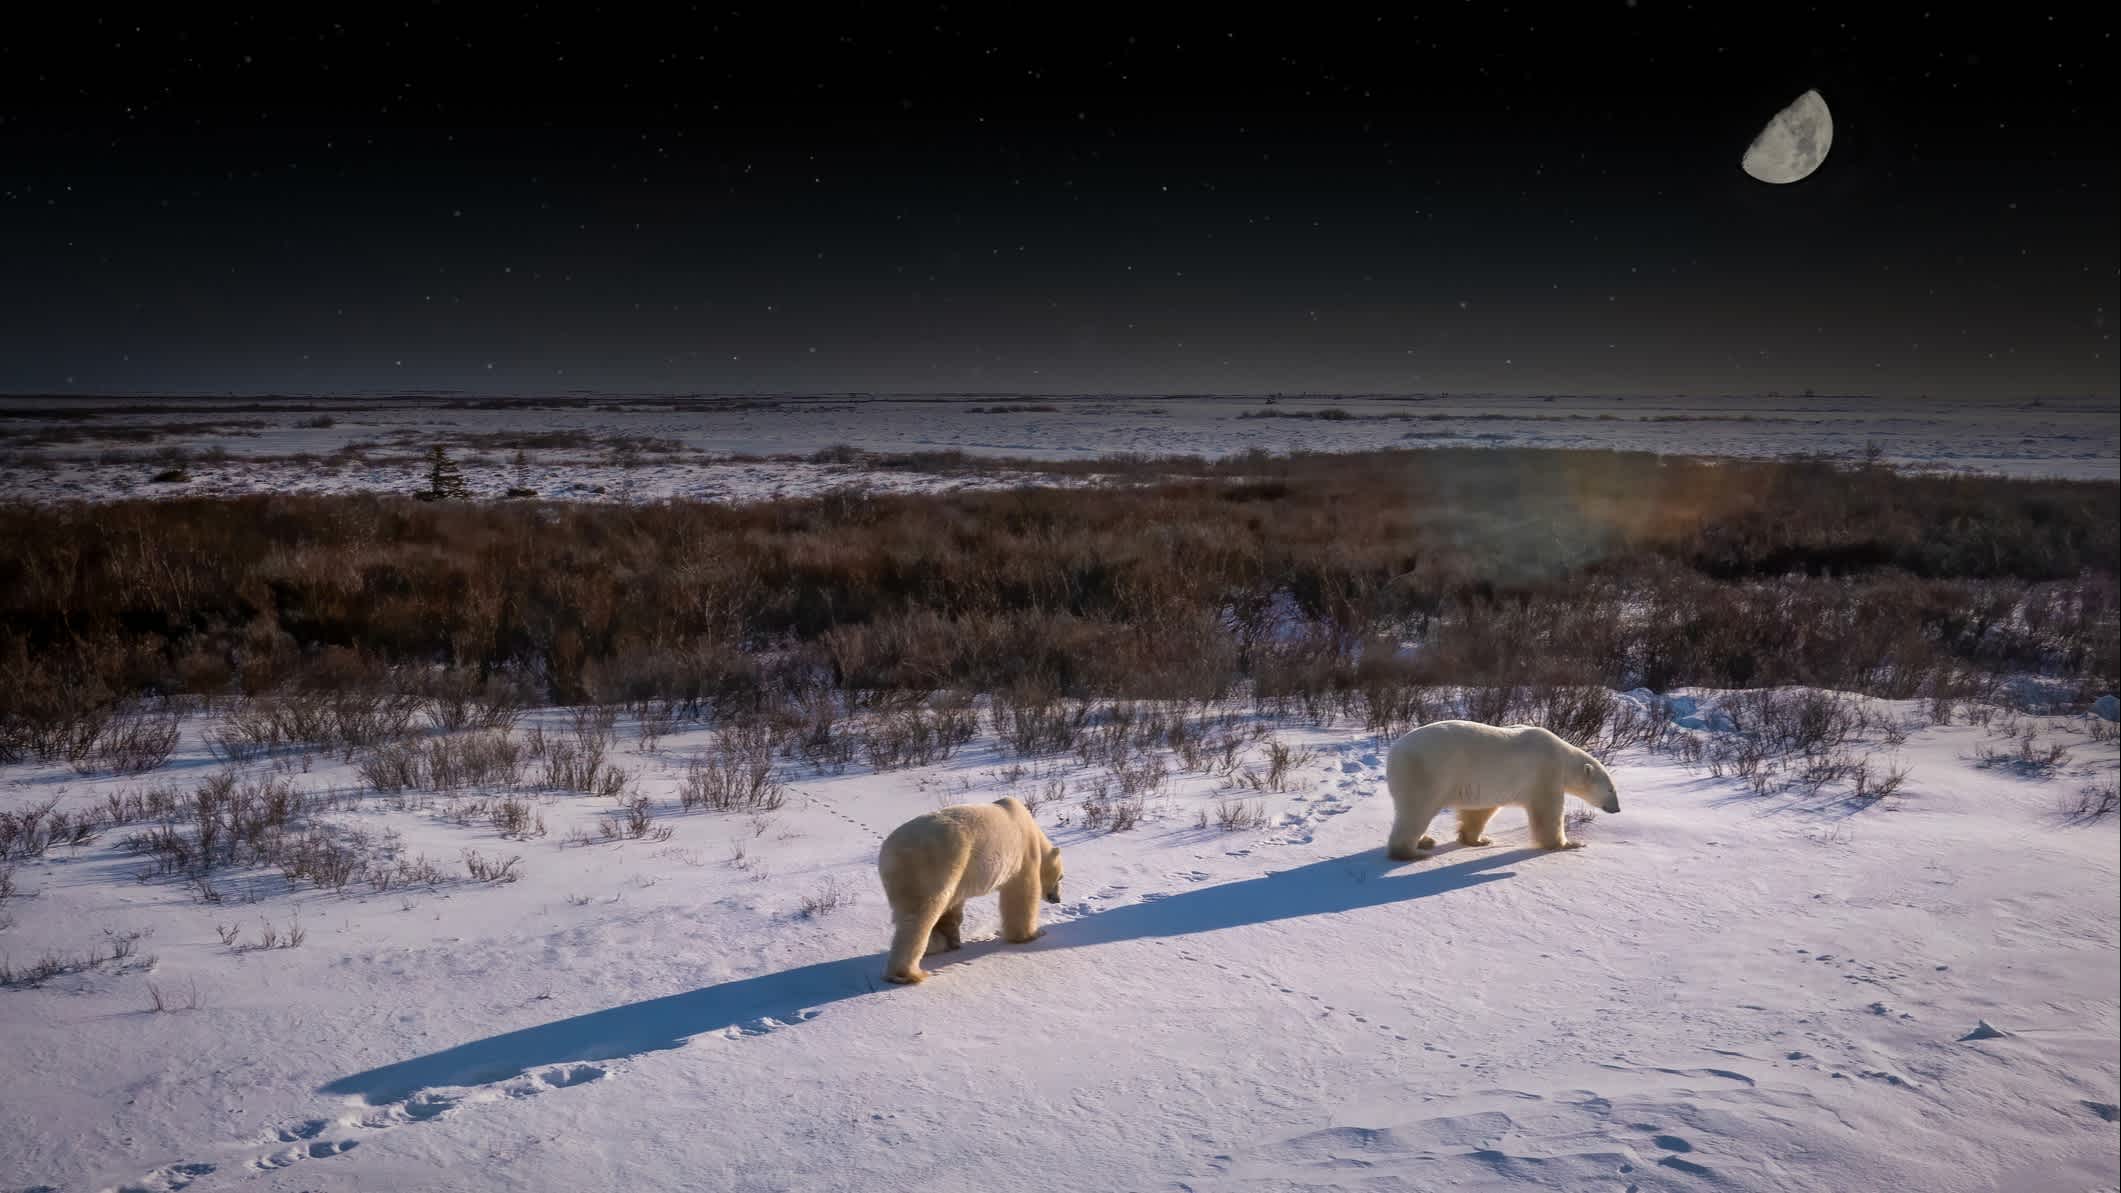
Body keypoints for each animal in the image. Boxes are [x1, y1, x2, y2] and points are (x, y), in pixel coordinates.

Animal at [873, 793, 1060, 980]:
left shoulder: (961, 877)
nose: (1057, 899)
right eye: (1060, 877)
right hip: (931, 865)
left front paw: (952, 940)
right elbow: (1022, 894)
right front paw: (1032, 935)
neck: (1033, 830)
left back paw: (935, 946)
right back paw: (910, 973)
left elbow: (953, 907)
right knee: (920, 913)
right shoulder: (1024, 856)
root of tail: (888, 853)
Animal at [1382, 713, 1611, 853]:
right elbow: (1548, 813)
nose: (1615, 808)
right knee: (1417, 810)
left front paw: (1478, 840)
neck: (1563, 755)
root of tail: (1394, 751)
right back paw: (1411, 851)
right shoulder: (1546, 773)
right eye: (1610, 789)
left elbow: (1480, 811)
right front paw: (1570, 844)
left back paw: (1425, 841)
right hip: (1426, 770)